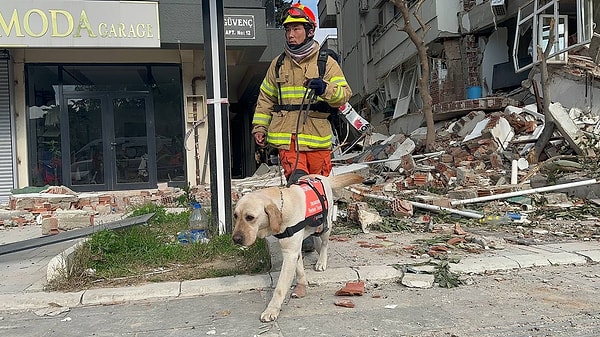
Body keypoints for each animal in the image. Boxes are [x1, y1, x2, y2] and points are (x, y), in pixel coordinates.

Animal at [232, 173, 360, 320]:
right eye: (235, 216)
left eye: (250, 217)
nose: (235, 239)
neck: (282, 208)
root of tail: (323, 177)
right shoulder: (293, 250)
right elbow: (299, 270)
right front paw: (302, 285)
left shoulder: (290, 253)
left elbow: (280, 287)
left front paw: (272, 310)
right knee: (316, 240)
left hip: (326, 226)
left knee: (325, 244)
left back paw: (321, 261)